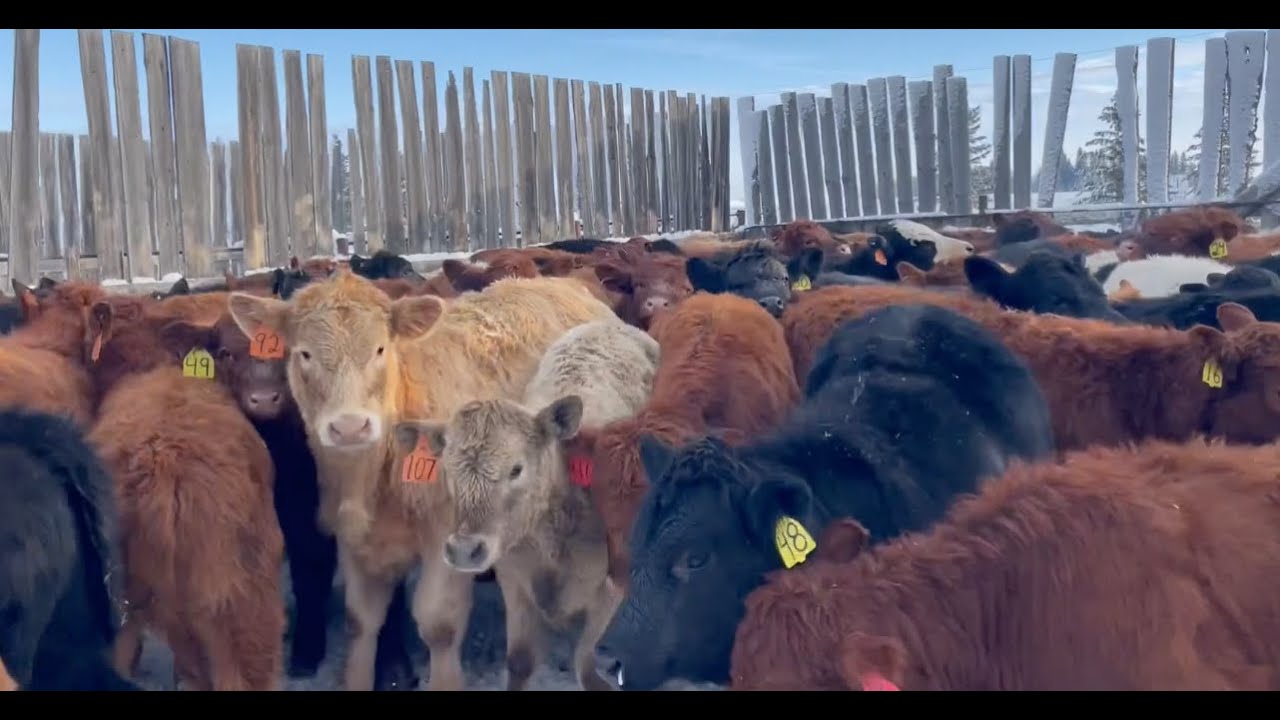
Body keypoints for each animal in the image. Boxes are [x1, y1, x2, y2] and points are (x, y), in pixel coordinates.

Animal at [225, 271, 618, 691]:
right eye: (304, 354)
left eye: (380, 349)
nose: (349, 426)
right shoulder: (356, 539)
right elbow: (360, 621)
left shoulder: (453, 535)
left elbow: (438, 625)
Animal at [396, 319, 659, 691]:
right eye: (447, 469)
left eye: (516, 469)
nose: (463, 550)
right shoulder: (514, 578)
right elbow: (520, 660)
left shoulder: (615, 584)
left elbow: (586, 653)